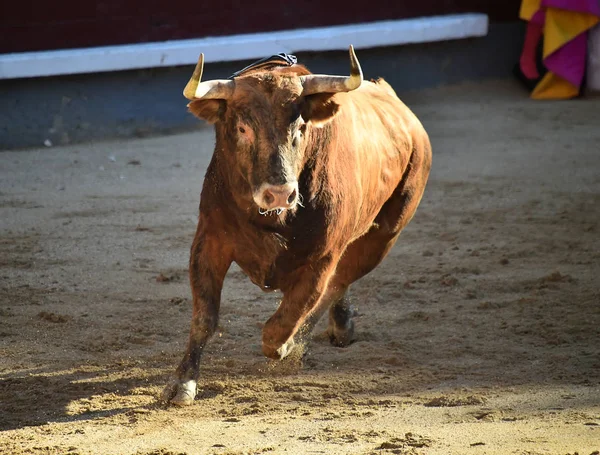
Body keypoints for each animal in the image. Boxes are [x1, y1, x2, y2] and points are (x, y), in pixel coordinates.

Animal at [161, 47, 432, 406]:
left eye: (301, 127)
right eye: (243, 128)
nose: (279, 193)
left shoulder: (322, 258)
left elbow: (286, 320)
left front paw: (285, 346)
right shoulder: (210, 241)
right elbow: (205, 317)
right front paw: (182, 382)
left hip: (385, 235)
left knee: (338, 282)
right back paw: (341, 324)